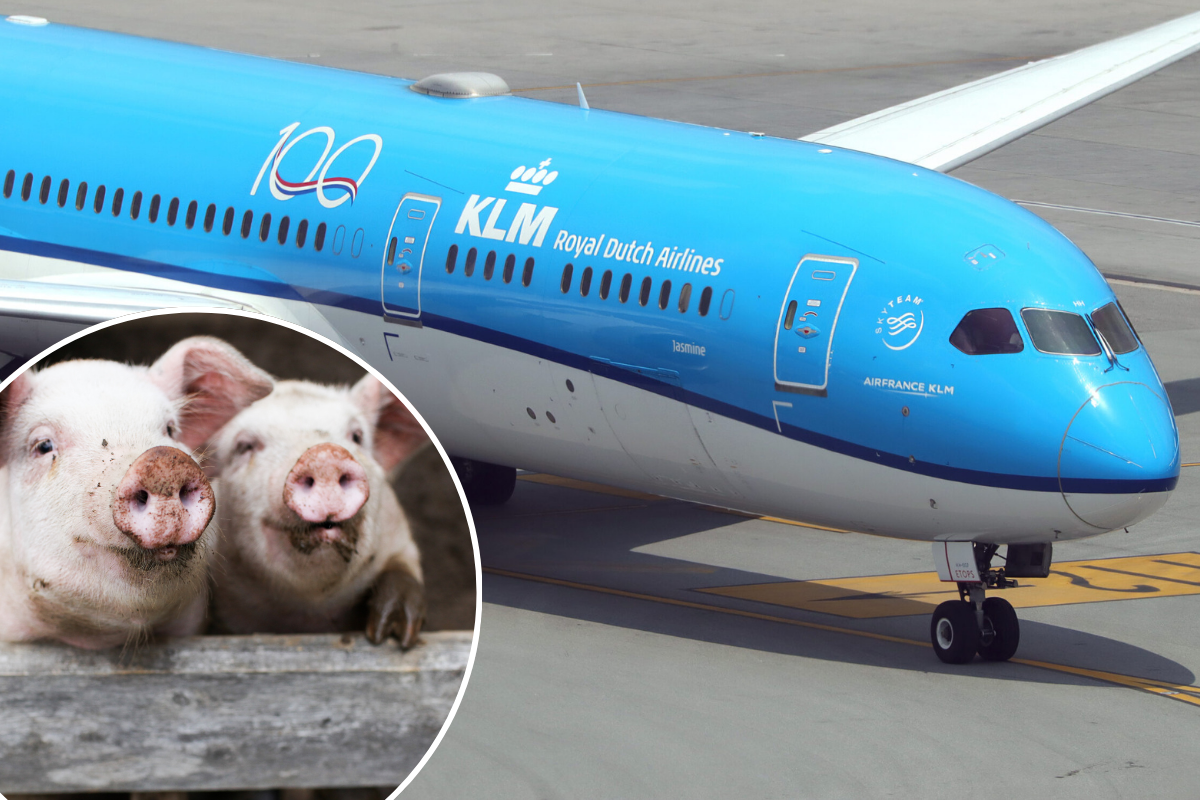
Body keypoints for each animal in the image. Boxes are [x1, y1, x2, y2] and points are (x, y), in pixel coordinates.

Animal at [207, 379, 432, 647]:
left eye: (357, 436)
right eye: (244, 446)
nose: (324, 456)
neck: (310, 614)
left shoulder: (399, 536)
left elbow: (402, 569)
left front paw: (391, 633)